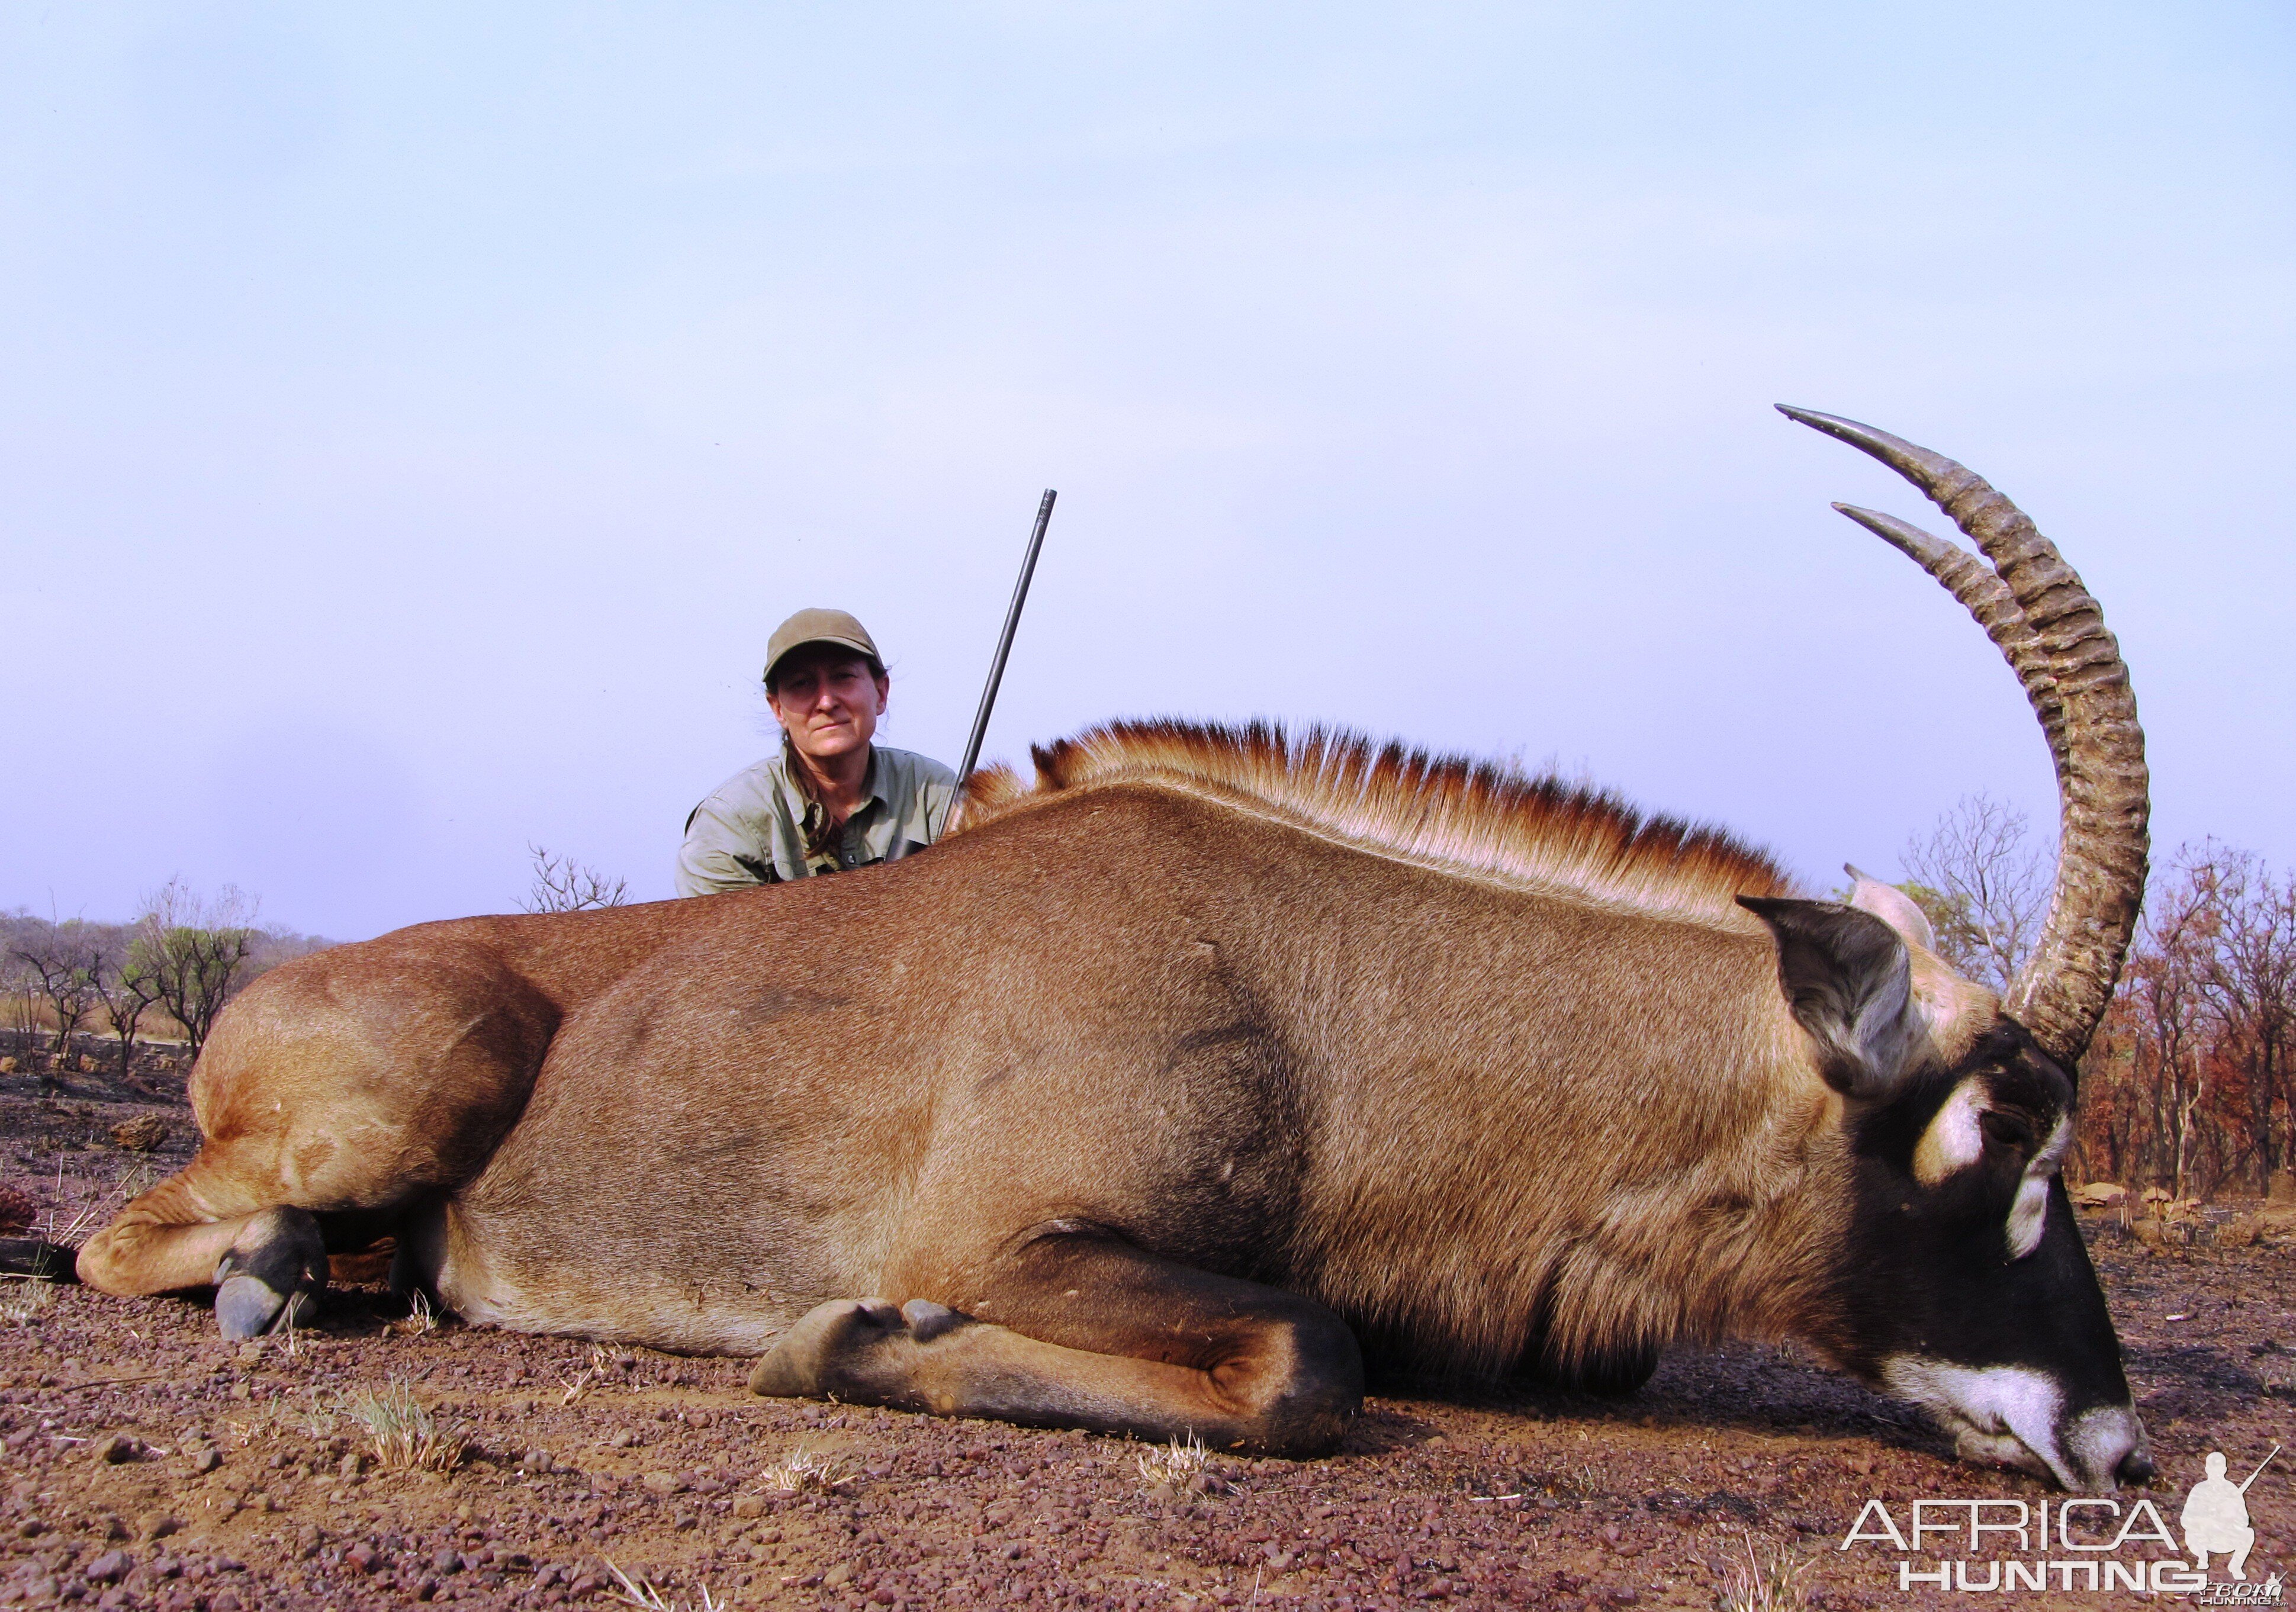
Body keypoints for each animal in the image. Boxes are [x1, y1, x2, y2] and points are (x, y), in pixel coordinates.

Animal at [72, 411, 2149, 1497]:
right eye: (1999, 1142)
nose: (2118, 1447)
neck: (1313, 990)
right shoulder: (1003, 1236)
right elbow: (1304, 1358)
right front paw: (849, 1337)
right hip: (400, 1097)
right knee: (119, 1237)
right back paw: (276, 1275)